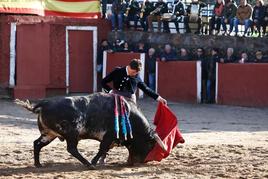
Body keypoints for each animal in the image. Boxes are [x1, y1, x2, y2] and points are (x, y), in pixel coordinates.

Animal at [15, 92, 165, 169]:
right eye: (150, 145)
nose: (142, 162)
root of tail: (45, 103)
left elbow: (105, 150)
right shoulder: (109, 135)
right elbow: (102, 148)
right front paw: (94, 162)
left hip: (49, 134)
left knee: (37, 144)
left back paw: (38, 164)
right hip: (72, 133)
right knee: (72, 149)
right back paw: (88, 164)